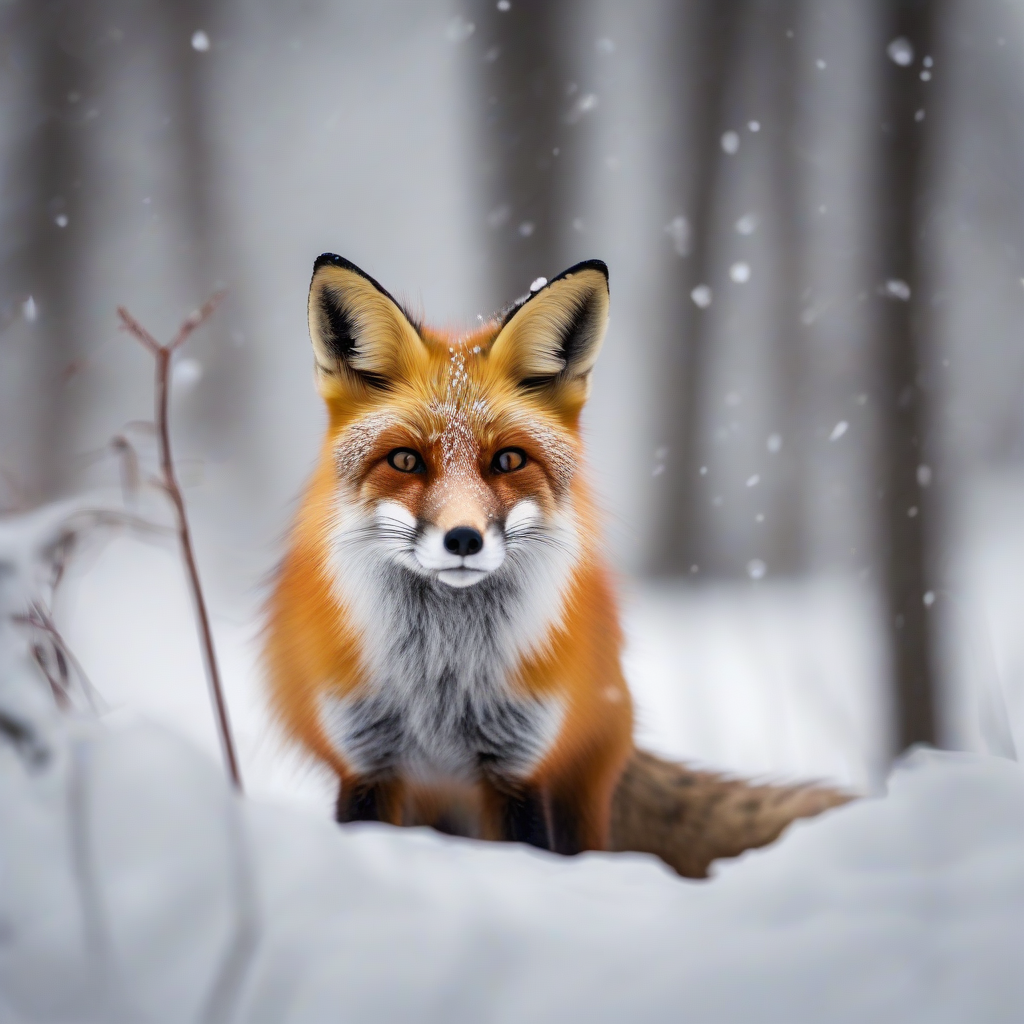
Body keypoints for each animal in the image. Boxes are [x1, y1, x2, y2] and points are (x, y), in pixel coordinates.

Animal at [264, 253, 849, 865]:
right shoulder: (366, 763)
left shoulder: (519, 768)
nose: (463, 540)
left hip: (578, 799)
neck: (441, 683)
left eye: (508, 460)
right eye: (404, 461)